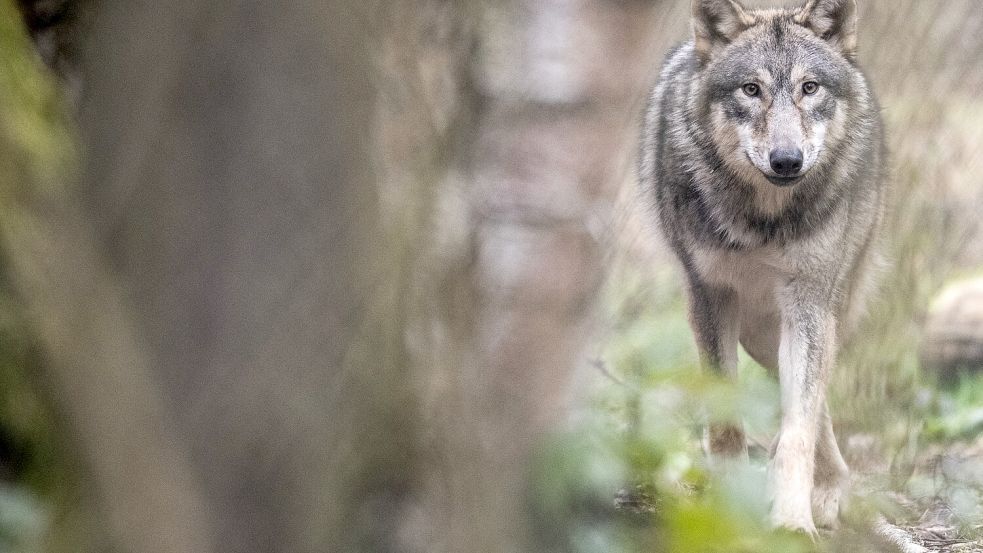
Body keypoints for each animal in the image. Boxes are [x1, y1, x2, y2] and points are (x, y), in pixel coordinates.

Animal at [640, 0, 886, 535]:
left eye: (809, 87)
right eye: (751, 90)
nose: (787, 160)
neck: (764, 221)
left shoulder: (808, 303)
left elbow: (799, 427)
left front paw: (792, 522)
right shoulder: (709, 298)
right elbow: (725, 420)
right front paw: (729, 510)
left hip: (809, 317)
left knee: (813, 407)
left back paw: (826, 490)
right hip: (758, 333)